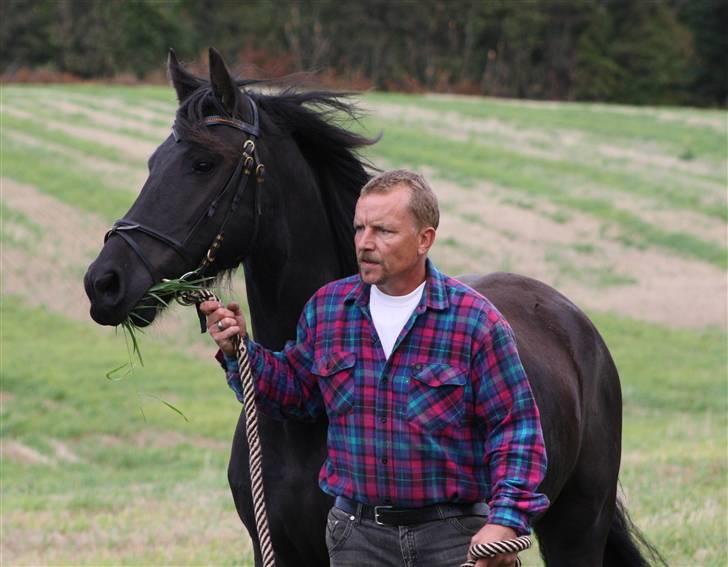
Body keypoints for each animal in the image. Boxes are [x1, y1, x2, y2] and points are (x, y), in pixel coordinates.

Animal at [82, 50, 656, 567]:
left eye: (203, 164)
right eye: (154, 163)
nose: (103, 282)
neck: (299, 427)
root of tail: (571, 320)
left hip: (576, 528)